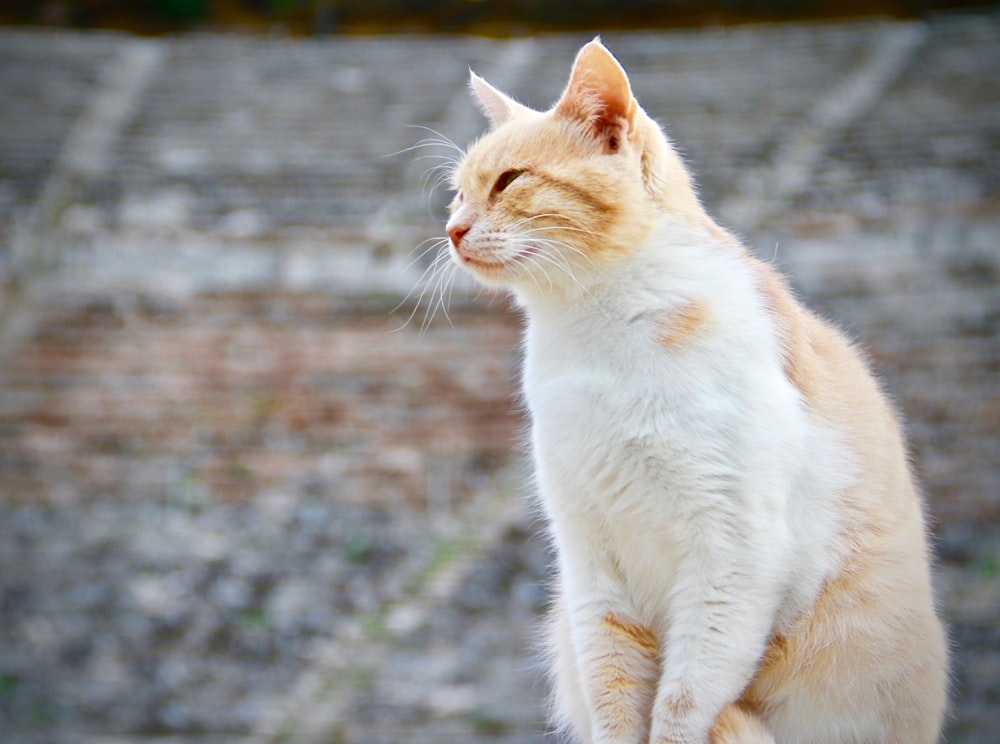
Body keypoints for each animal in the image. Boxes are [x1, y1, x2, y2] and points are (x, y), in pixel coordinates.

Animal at [442, 40, 948, 744]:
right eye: (457, 193)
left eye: (510, 181)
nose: (452, 230)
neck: (597, 335)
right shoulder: (590, 566)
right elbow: (613, 697)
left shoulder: (729, 557)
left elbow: (681, 706)